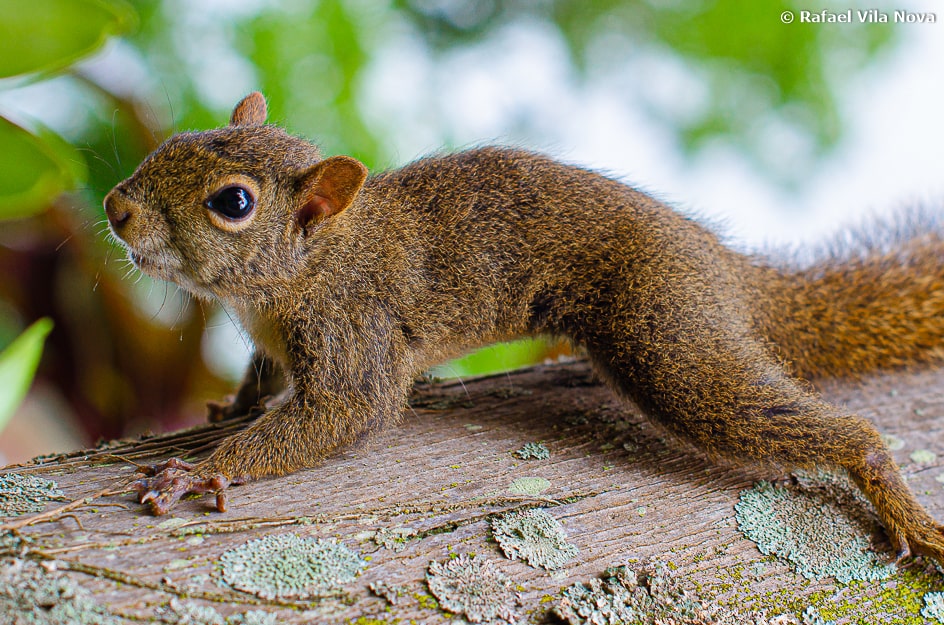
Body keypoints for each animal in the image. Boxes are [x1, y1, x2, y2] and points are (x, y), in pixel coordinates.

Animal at [103, 91, 944, 560]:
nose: (115, 206)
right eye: (174, 143)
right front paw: (232, 405)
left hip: (668, 334)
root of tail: (725, 265)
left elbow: (348, 409)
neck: (297, 272)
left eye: (233, 202)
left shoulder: (355, 325)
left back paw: (889, 490)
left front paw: (204, 468)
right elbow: (264, 379)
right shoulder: (277, 340)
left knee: (822, 426)